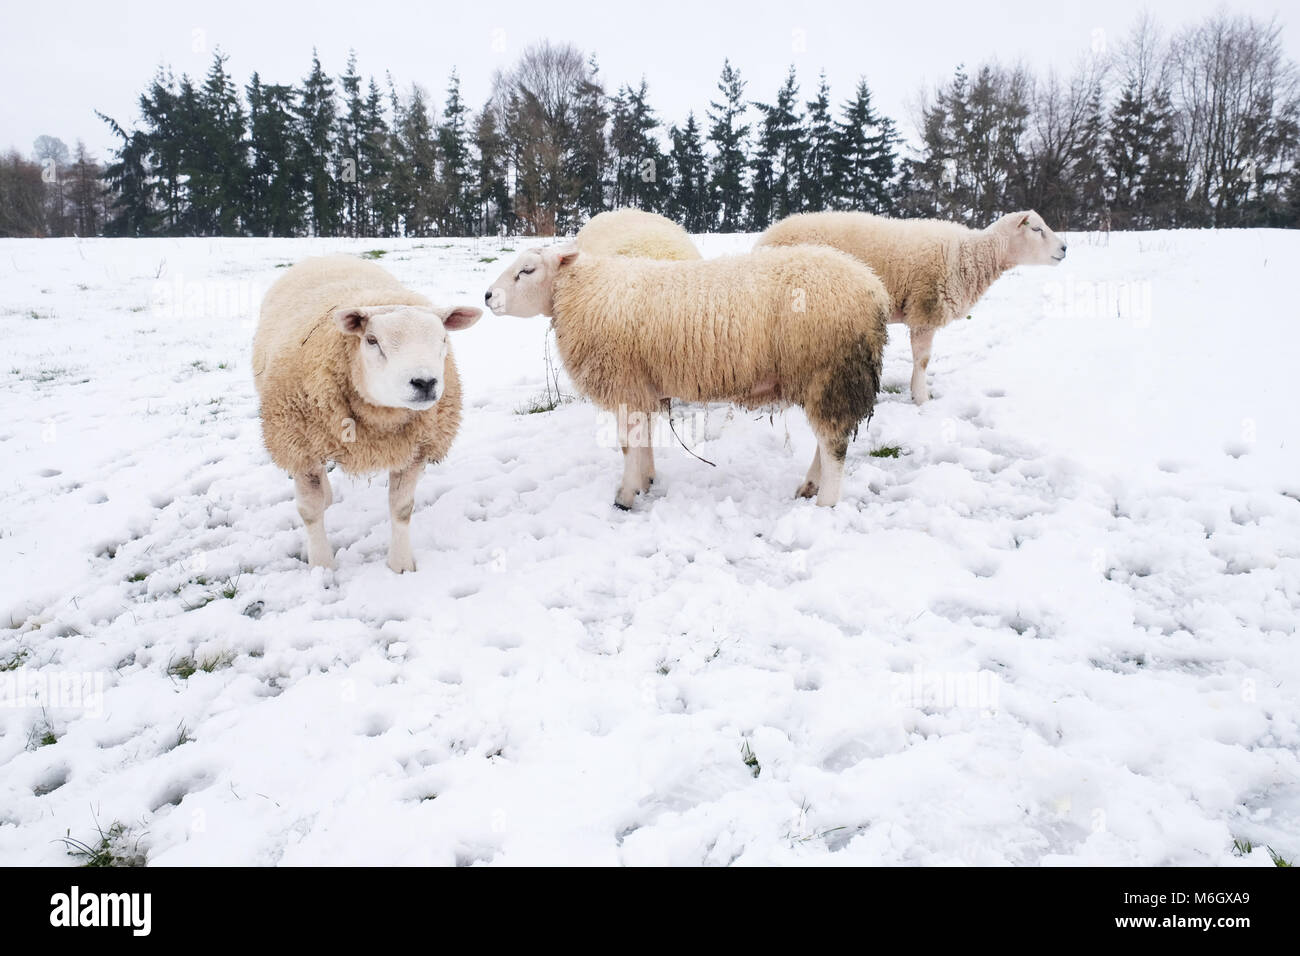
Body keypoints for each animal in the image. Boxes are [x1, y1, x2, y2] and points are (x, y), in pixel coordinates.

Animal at [253, 254, 483, 572]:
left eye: (443, 339)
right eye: (372, 340)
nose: (425, 383)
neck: (379, 425)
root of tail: (330, 255)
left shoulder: (414, 447)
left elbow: (402, 508)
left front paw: (401, 565)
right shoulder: (298, 445)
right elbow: (310, 511)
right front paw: (322, 566)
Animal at [483, 243, 889, 509]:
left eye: (527, 270)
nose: (487, 296)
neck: (583, 292)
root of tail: (874, 288)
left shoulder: (624, 382)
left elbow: (628, 444)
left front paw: (625, 496)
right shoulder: (642, 385)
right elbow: (643, 437)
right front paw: (646, 481)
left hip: (830, 372)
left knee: (833, 444)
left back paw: (825, 503)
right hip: (823, 377)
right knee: (827, 440)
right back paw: (808, 488)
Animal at [759, 209, 1071, 403]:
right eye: (1037, 229)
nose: (1065, 248)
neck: (969, 257)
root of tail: (765, 238)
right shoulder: (925, 308)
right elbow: (923, 359)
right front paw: (921, 398)